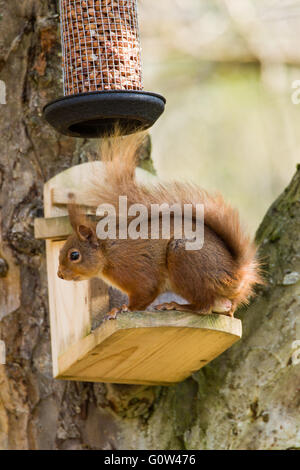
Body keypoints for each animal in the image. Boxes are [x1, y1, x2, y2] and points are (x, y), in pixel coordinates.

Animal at [57, 130, 262, 318]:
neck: (109, 252)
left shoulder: (137, 271)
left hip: (184, 258)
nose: (59, 274)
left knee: (204, 306)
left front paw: (122, 309)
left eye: (74, 255)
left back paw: (177, 306)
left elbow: (145, 293)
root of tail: (237, 274)